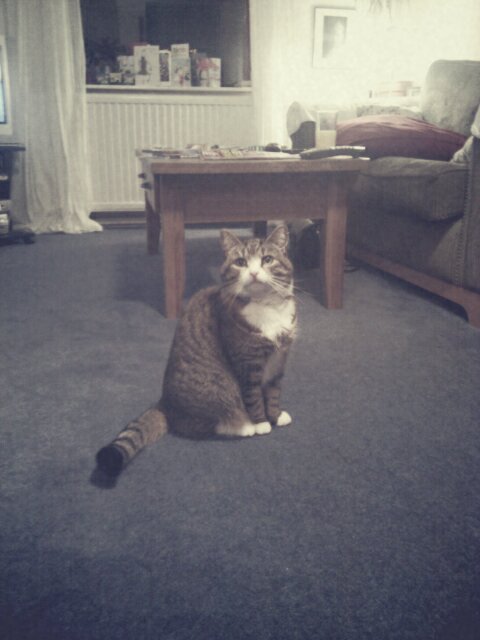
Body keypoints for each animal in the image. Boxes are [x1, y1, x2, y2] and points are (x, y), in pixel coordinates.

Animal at [95, 224, 296, 476]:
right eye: (240, 262)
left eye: (267, 259)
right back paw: (243, 426)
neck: (267, 308)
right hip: (219, 392)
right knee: (206, 425)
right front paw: (261, 422)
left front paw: (276, 415)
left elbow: (273, 392)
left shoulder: (279, 360)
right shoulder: (247, 363)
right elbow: (253, 396)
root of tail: (165, 403)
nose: (253, 273)